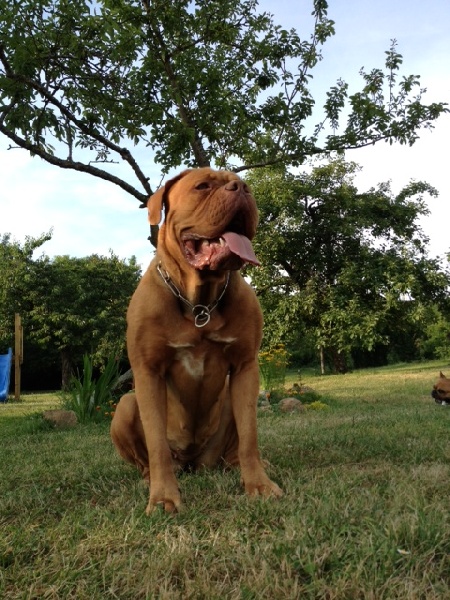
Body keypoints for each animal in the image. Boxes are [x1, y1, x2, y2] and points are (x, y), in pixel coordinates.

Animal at [110, 166, 282, 512]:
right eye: (202, 186)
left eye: (244, 185)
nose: (242, 187)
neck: (199, 303)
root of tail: (192, 462)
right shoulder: (147, 372)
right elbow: (156, 445)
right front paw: (164, 497)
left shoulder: (245, 368)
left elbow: (250, 436)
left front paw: (258, 485)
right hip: (124, 405)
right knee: (148, 456)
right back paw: (149, 478)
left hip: (228, 403)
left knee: (235, 447)